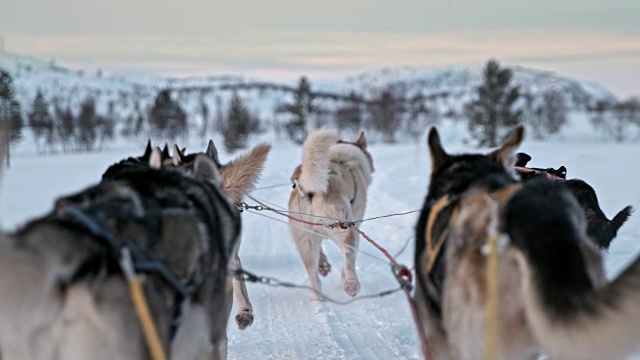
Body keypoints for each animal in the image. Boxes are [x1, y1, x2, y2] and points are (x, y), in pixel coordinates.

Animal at [288, 129, 372, 300]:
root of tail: (312, 189)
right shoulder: (356, 227)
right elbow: (350, 258)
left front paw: (324, 266)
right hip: (345, 228)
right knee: (348, 254)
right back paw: (351, 284)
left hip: (305, 240)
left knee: (313, 275)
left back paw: (318, 296)